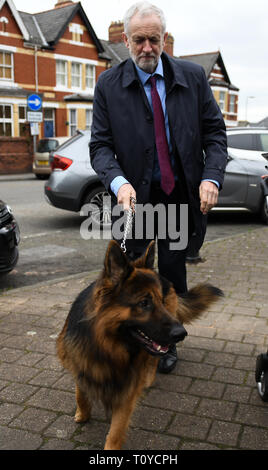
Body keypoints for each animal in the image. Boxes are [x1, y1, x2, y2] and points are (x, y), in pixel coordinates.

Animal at [57, 241, 223, 450]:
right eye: (144, 303)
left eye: (160, 300)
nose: (182, 334)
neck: (108, 347)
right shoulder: (80, 364)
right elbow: (80, 392)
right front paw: (82, 413)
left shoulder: (128, 389)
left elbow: (116, 430)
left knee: (154, 360)